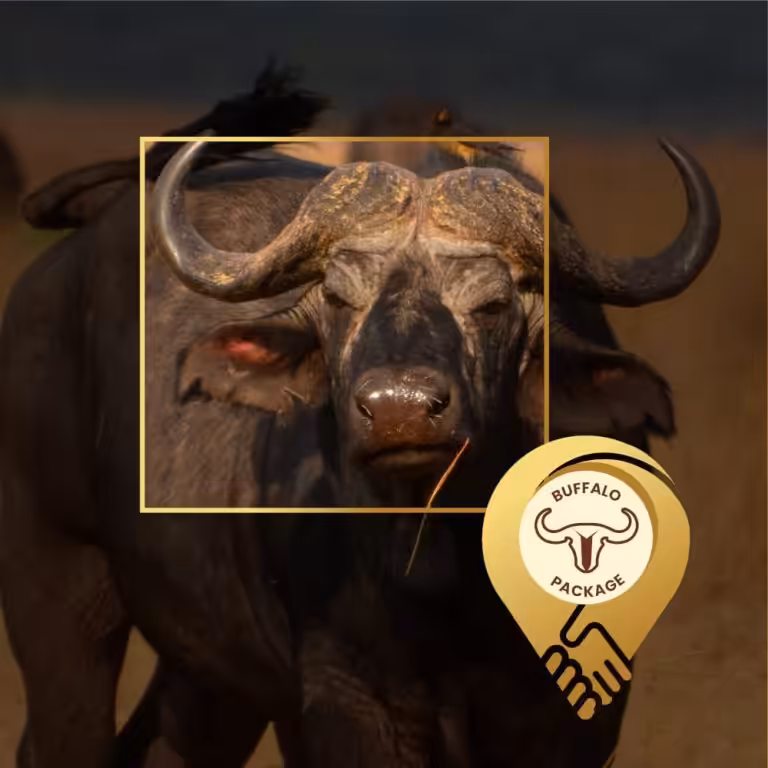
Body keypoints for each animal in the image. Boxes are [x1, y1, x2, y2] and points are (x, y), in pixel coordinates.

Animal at [0, 65, 720, 768]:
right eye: (339, 300)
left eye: (491, 304)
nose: (399, 412)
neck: (442, 573)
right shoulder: (346, 697)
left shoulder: (570, 715)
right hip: (59, 586)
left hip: (209, 672)